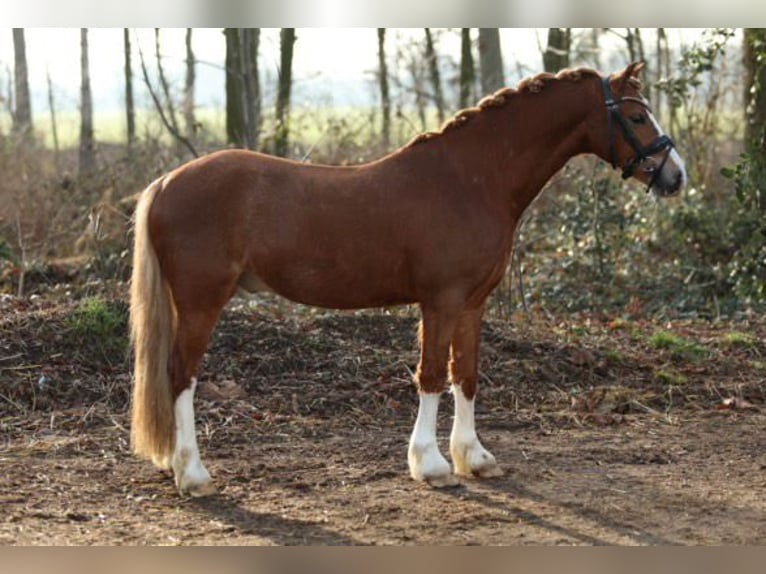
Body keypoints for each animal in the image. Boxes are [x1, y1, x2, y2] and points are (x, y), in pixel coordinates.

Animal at [129, 62, 686, 496]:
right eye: (637, 115)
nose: (676, 175)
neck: (471, 179)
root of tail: (167, 182)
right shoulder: (441, 301)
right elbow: (432, 375)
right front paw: (432, 465)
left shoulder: (472, 304)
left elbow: (466, 375)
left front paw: (473, 457)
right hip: (201, 302)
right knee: (181, 375)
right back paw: (193, 475)